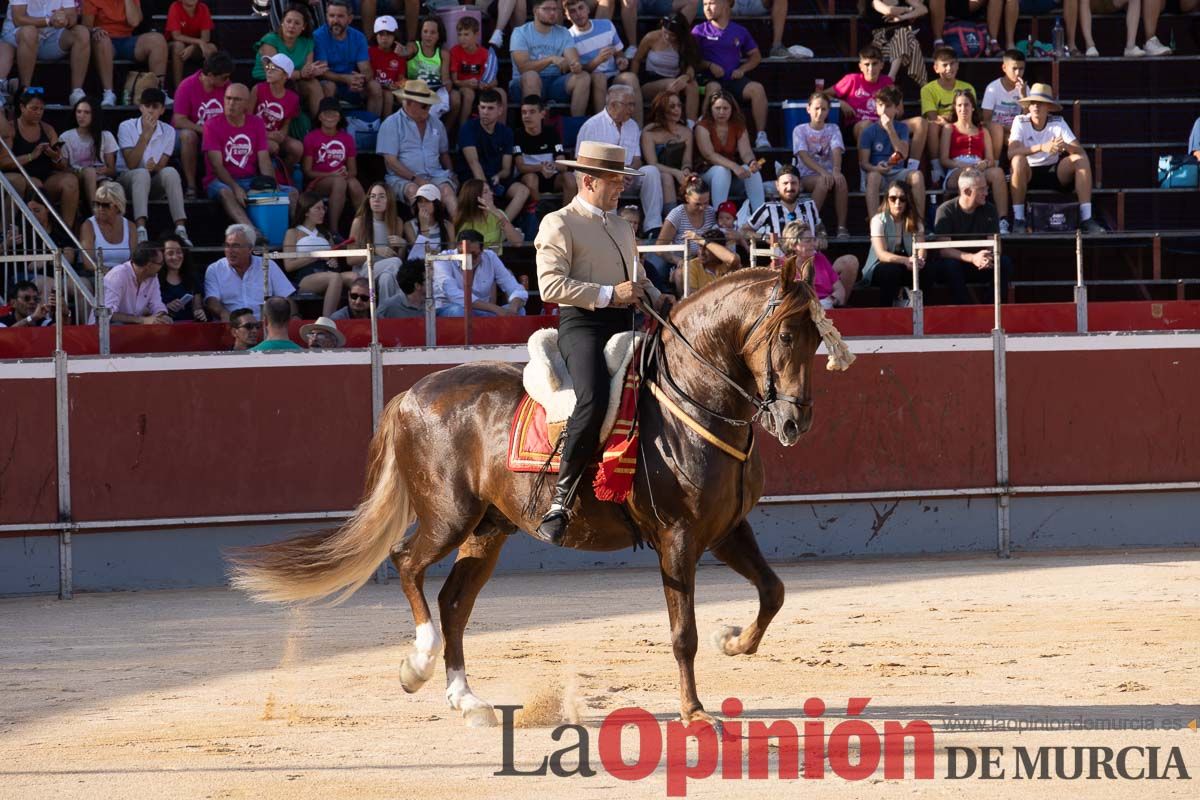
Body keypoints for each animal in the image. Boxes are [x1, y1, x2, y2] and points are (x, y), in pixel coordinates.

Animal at [229, 266, 854, 729]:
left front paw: (733, 641)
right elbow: (683, 634)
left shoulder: (724, 530)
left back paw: (467, 700)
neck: (689, 402)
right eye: (785, 335)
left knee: (455, 601)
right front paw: (696, 712)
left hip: (488, 530)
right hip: (449, 516)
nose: (795, 421)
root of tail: (410, 393)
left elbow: (773, 592)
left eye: (816, 338)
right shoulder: (677, 538)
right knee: (408, 564)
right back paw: (418, 664)